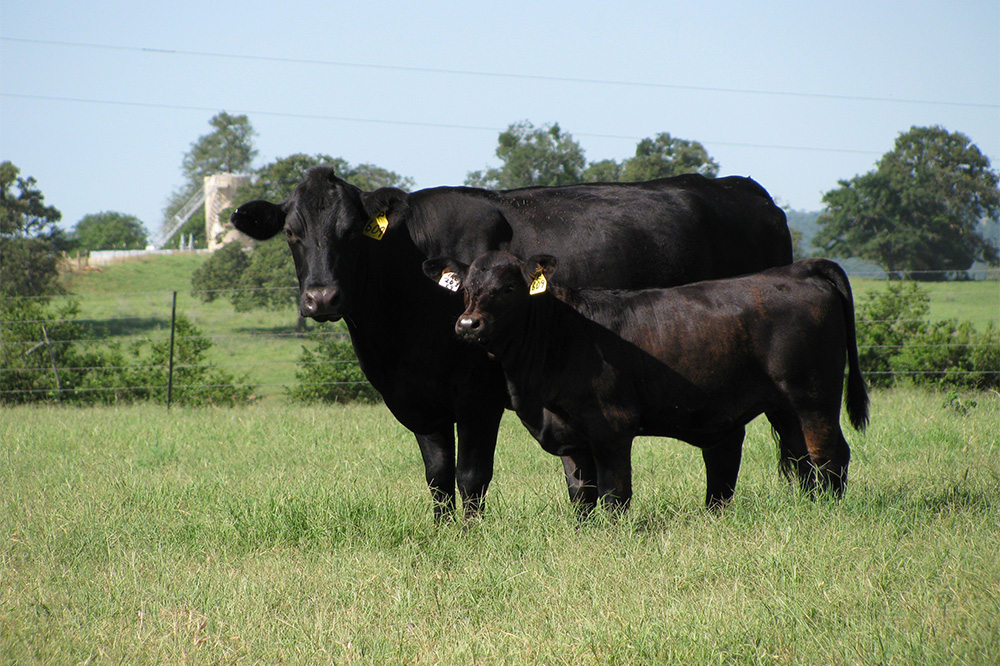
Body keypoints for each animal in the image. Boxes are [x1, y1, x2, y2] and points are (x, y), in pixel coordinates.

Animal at [230, 167, 793, 520]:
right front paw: (443, 534)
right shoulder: (419, 399)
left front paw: (472, 536)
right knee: (725, 441)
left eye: (351, 232)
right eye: (292, 233)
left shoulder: (478, 393)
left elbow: (470, 475)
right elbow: (438, 476)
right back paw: (716, 513)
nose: (321, 297)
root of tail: (747, 191)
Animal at [423, 251, 868, 512]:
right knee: (802, 459)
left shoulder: (611, 427)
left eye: (509, 287)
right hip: (784, 407)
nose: (467, 324)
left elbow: (614, 494)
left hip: (813, 396)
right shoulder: (571, 437)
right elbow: (581, 495)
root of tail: (799, 270)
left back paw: (827, 513)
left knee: (829, 456)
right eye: (465, 289)